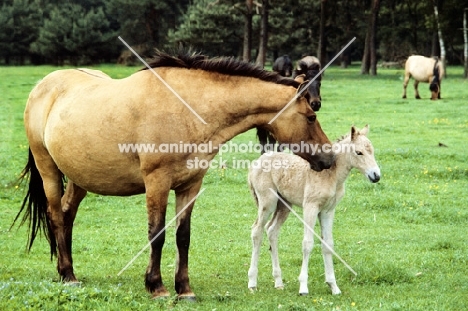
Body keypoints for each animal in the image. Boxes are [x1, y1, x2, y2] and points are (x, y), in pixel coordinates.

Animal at [249, 125, 380, 296]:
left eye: (372, 151)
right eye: (359, 152)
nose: (376, 176)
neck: (331, 174)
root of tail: (256, 163)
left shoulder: (328, 211)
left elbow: (328, 244)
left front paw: (333, 286)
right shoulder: (310, 207)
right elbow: (307, 243)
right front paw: (303, 287)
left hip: (284, 205)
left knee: (271, 230)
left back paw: (278, 282)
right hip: (268, 203)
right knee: (257, 231)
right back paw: (252, 283)